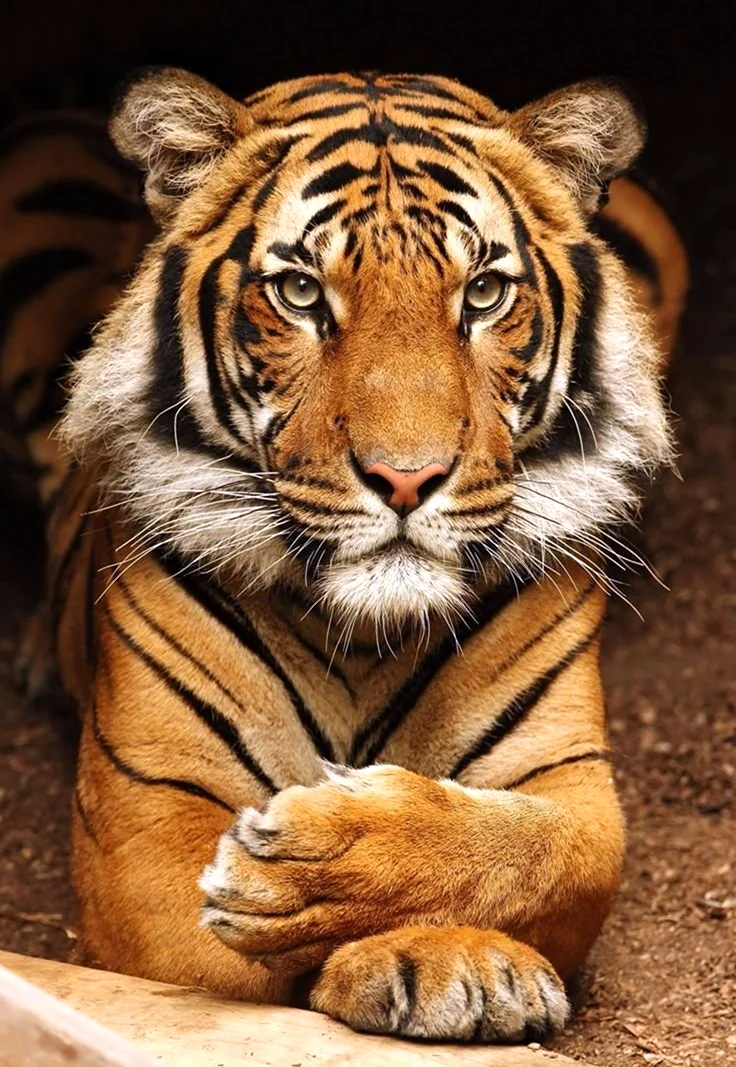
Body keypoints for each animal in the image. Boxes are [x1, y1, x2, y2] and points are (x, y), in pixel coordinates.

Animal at [0, 68, 687, 1044]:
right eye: (298, 292)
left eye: (483, 294)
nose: (407, 478)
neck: (365, 633)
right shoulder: (149, 818)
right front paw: (393, 935)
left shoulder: (573, 783)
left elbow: (543, 850)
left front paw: (415, 926)